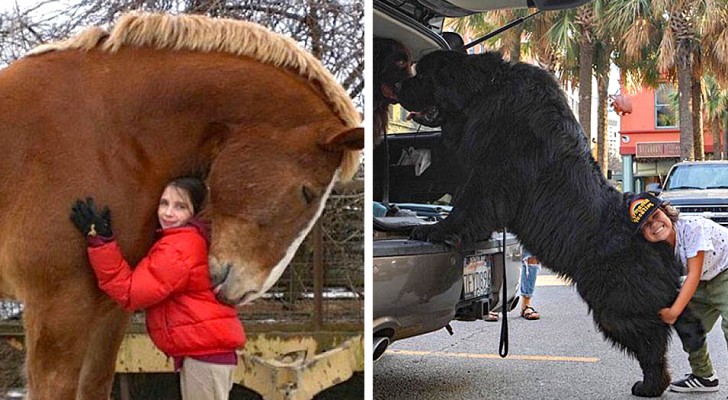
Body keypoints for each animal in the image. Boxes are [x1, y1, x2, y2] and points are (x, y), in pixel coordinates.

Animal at [398, 50, 704, 396]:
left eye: (423, 75)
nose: (398, 85)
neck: (486, 89)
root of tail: (657, 239)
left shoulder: (491, 174)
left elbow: (467, 206)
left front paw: (434, 230)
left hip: (615, 302)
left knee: (652, 339)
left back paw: (650, 385)